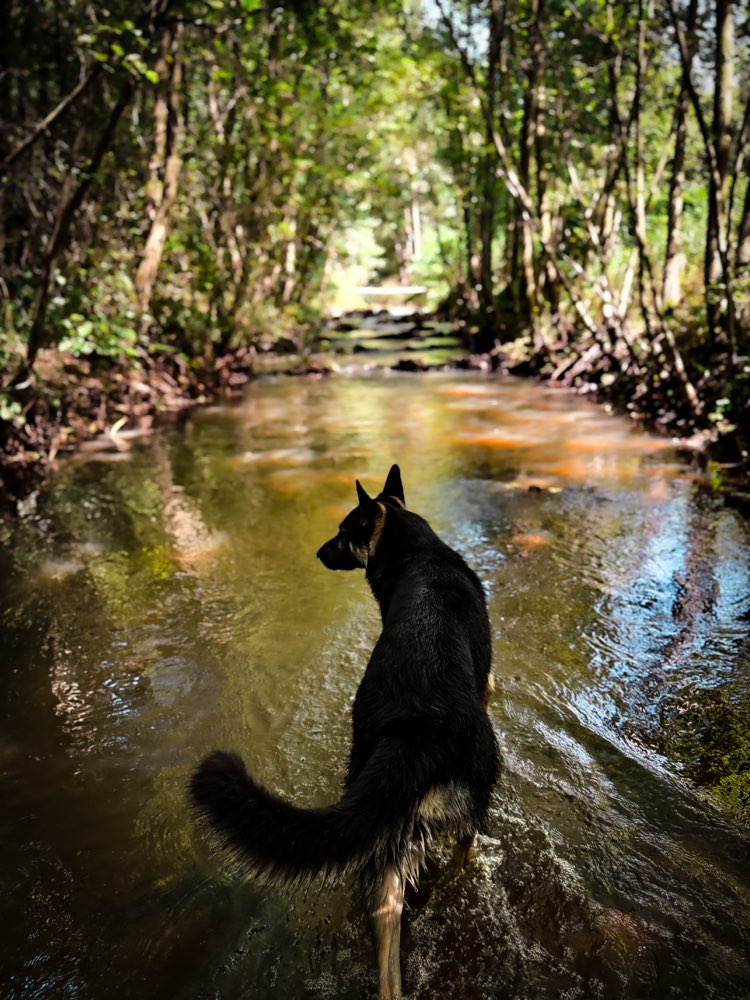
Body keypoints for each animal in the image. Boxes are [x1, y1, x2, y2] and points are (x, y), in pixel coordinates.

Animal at [191, 468, 502, 1000]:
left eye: (342, 531)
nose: (318, 553)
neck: (417, 551)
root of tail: (415, 731)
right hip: (451, 823)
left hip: (393, 848)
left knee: (387, 944)